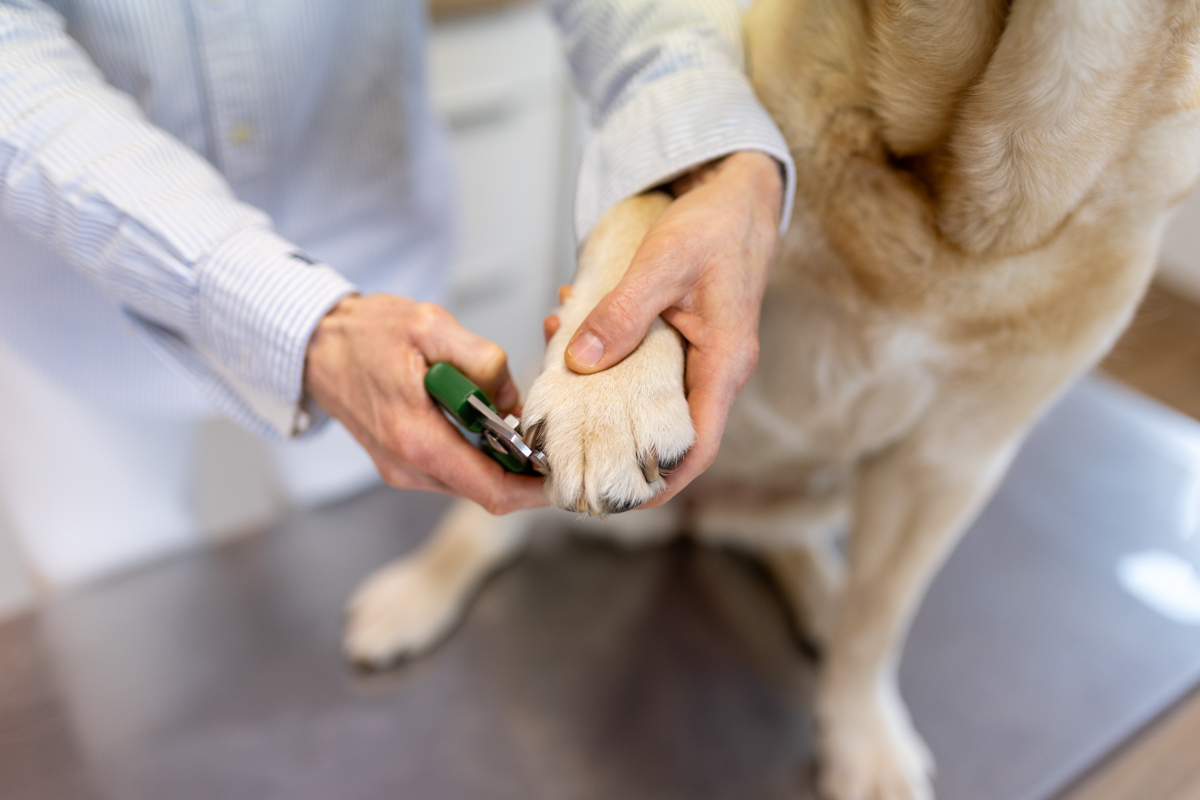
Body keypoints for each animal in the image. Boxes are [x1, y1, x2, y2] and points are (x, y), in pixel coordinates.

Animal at [338, 1, 1200, 800]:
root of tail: (695, 520)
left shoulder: (952, 462)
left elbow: (880, 621)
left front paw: (862, 733)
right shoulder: (731, 141)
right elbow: (653, 215)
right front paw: (608, 395)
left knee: (791, 545)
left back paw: (822, 595)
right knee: (483, 531)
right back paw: (416, 594)